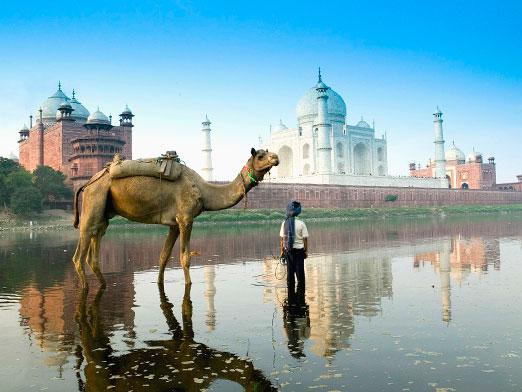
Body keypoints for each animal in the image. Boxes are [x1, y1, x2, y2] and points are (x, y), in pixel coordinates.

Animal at [71, 149, 278, 290]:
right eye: (260, 155)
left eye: (268, 152)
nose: (275, 158)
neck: (204, 191)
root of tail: (87, 183)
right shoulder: (186, 218)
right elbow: (185, 257)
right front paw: (189, 284)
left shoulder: (174, 224)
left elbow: (164, 256)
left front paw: (159, 282)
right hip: (93, 200)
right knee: (79, 254)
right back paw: (85, 287)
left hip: (103, 213)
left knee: (94, 250)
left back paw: (103, 285)